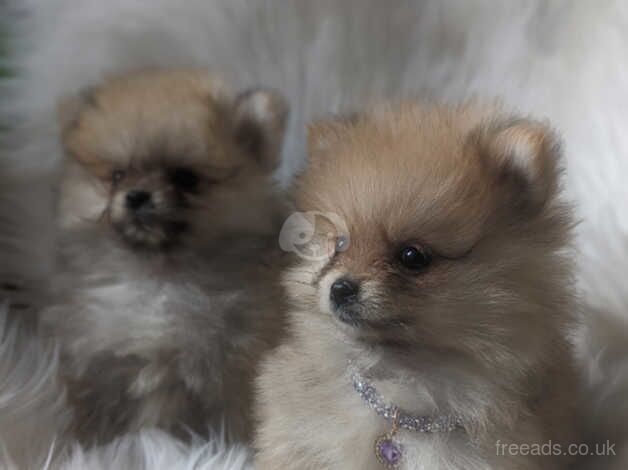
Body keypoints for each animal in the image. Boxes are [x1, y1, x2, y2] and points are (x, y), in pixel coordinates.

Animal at [41, 69, 290, 444]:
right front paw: (92, 446)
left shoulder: (223, 367)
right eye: (117, 175)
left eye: (185, 178)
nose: (137, 195)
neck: (159, 279)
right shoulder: (101, 362)